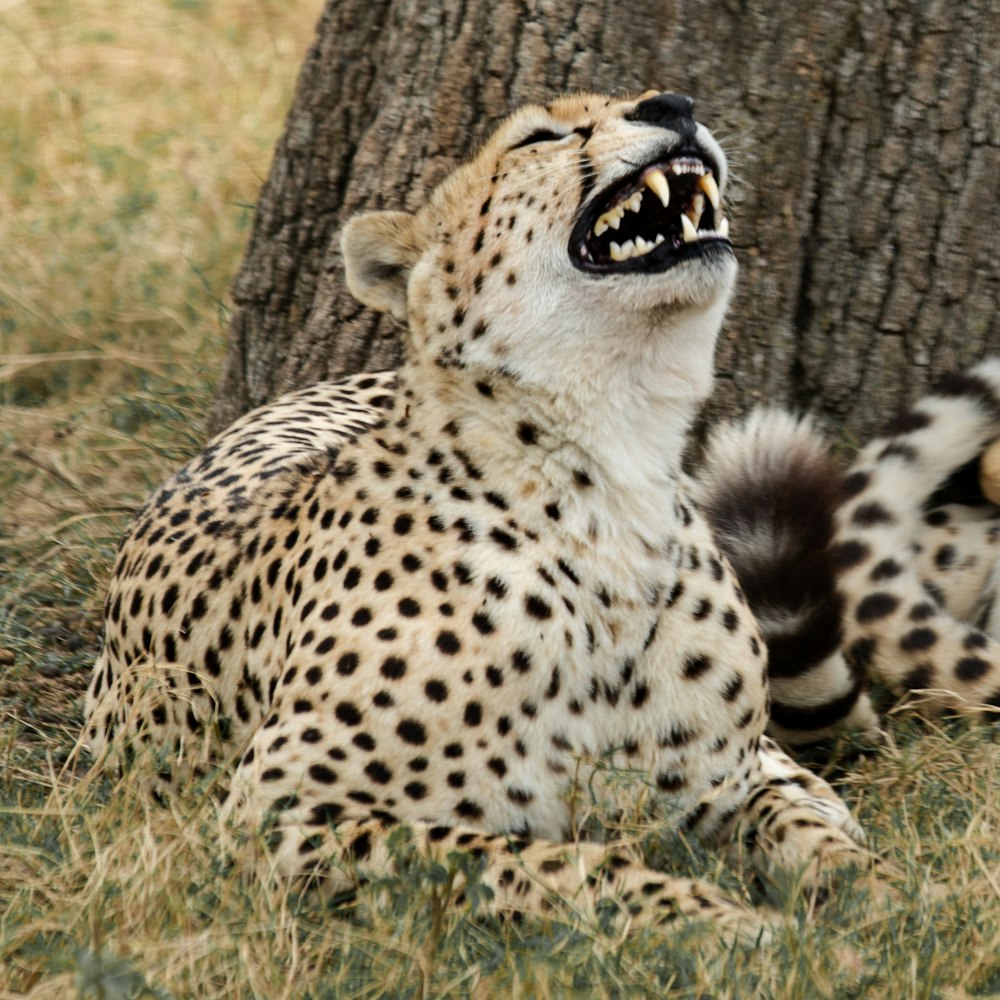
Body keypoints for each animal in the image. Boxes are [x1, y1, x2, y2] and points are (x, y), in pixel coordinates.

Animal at [86, 94, 868, 936]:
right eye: (541, 136)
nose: (675, 106)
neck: (616, 465)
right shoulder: (276, 813)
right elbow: (546, 862)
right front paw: (726, 924)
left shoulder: (724, 779)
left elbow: (802, 825)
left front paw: (877, 896)